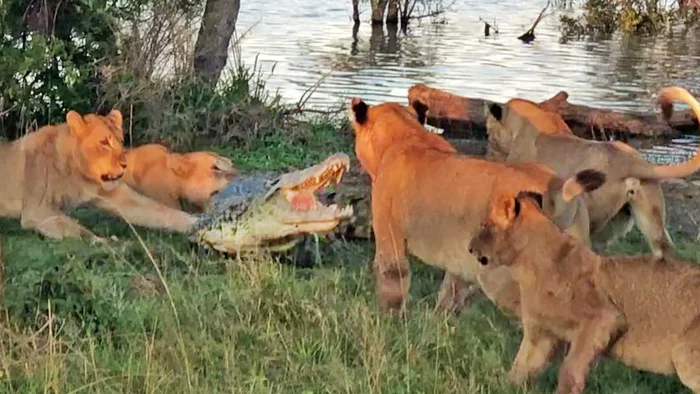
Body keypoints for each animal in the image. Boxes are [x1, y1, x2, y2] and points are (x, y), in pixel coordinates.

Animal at [0, 109, 198, 242]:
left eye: (121, 141)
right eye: (104, 143)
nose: (125, 165)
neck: (77, 173)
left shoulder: (113, 194)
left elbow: (161, 211)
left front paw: (198, 224)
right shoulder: (37, 210)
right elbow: (78, 229)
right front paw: (107, 243)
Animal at [348, 97, 604, 314]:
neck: (405, 134)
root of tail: (557, 189)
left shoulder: (389, 238)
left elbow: (393, 285)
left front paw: (389, 323)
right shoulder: (459, 255)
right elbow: (451, 293)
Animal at [468, 191, 700, 394]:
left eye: (484, 225)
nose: (470, 248)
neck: (525, 267)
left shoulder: (603, 318)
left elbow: (570, 367)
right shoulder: (541, 333)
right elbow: (520, 368)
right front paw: (501, 387)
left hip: (685, 357)